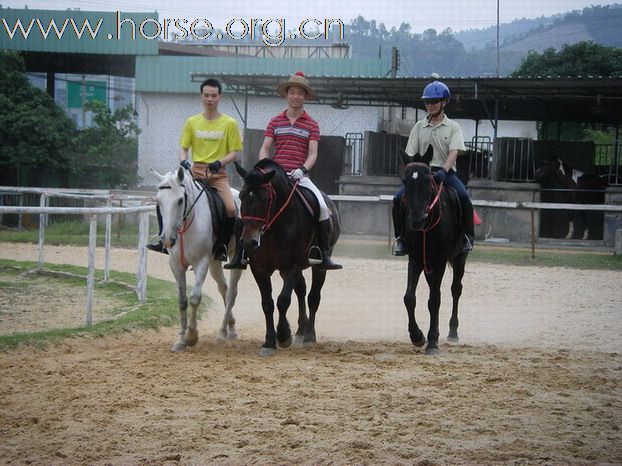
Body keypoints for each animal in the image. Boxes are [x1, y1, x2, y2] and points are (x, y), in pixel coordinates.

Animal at [151, 167, 244, 354]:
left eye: (180, 200)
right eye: (158, 201)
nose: (167, 239)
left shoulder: (201, 263)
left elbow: (194, 298)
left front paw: (191, 336)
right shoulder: (176, 265)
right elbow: (182, 301)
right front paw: (180, 340)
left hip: (233, 260)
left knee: (231, 293)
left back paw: (222, 333)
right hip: (215, 263)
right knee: (223, 289)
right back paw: (230, 328)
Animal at [235, 158, 344, 358]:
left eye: (264, 198)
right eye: (241, 196)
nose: (249, 242)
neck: (275, 225)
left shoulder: (293, 265)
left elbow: (283, 300)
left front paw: (284, 335)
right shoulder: (259, 268)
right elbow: (268, 303)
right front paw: (270, 341)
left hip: (319, 265)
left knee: (313, 297)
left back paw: (309, 335)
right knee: (301, 290)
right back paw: (301, 330)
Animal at [398, 147, 470, 354]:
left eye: (428, 181)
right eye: (405, 181)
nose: (416, 220)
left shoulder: (439, 261)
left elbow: (435, 300)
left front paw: (432, 342)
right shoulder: (415, 259)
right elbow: (409, 297)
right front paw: (417, 336)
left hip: (460, 258)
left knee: (456, 289)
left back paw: (452, 332)